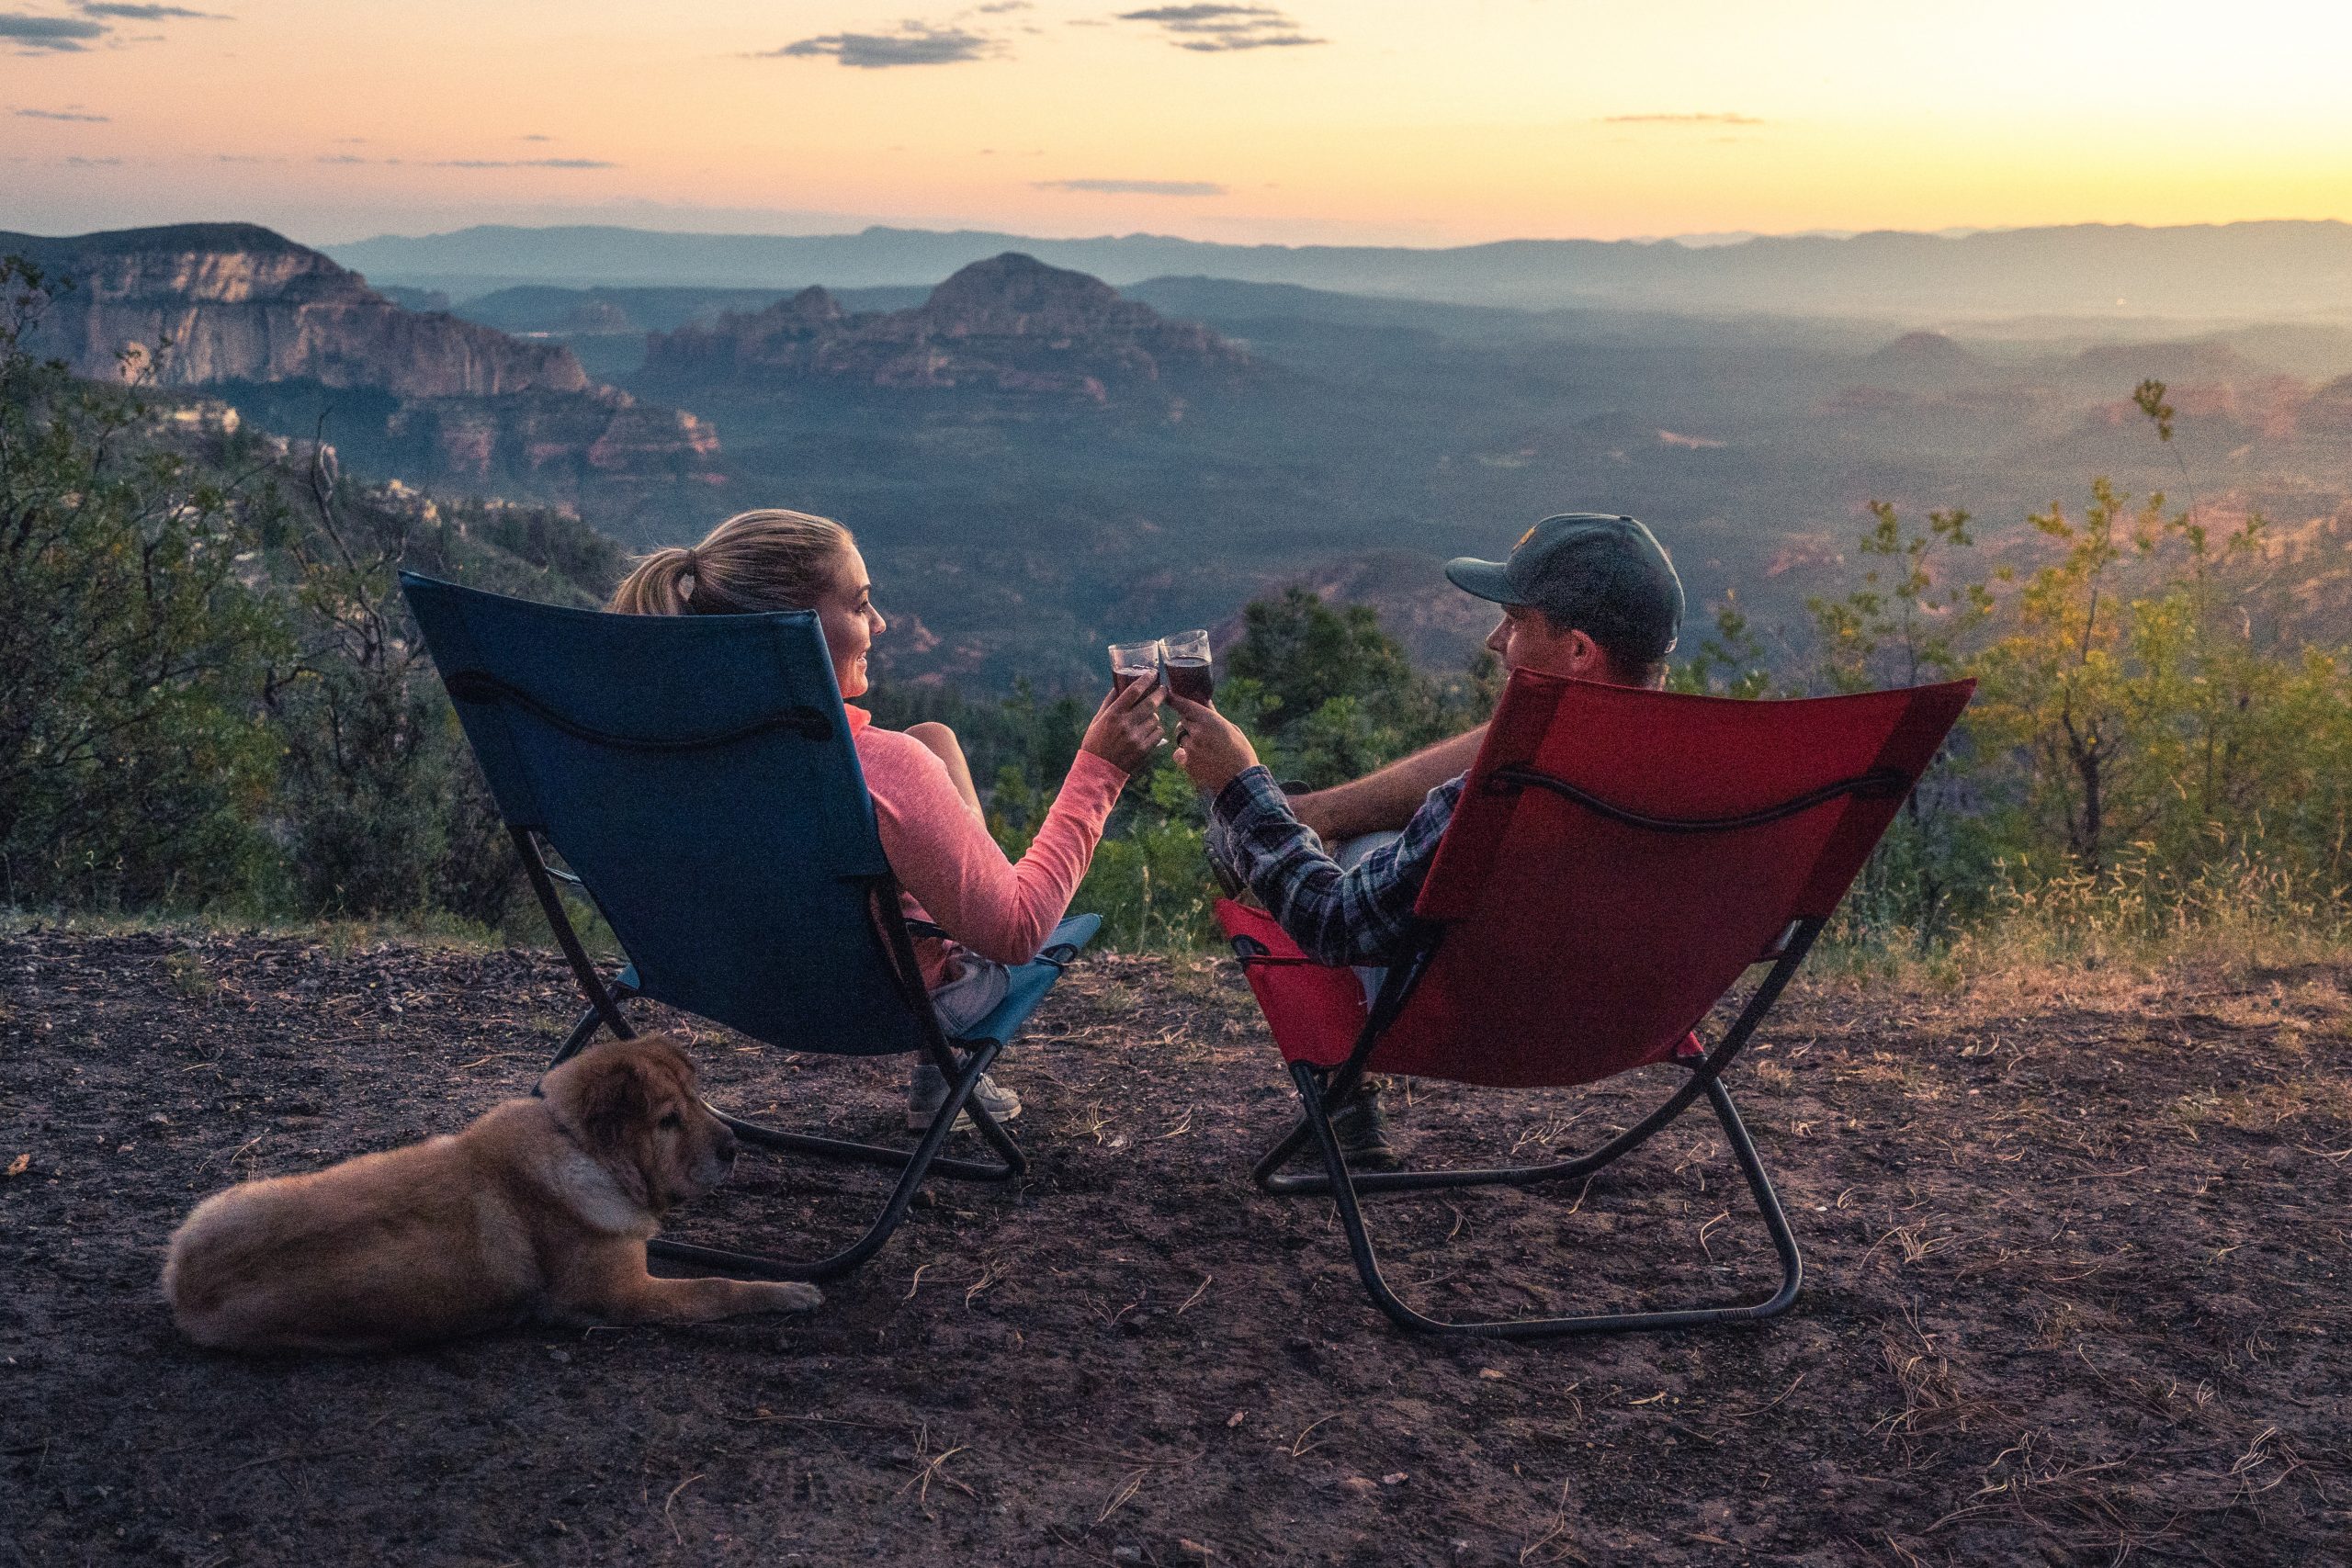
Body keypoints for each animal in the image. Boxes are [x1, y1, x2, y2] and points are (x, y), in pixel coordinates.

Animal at [158, 1029, 818, 1354]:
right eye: (667, 1121)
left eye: (698, 1099)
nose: (733, 1147)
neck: (580, 1148)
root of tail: (185, 1281)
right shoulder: (624, 1295)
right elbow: (717, 1286)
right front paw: (791, 1291)